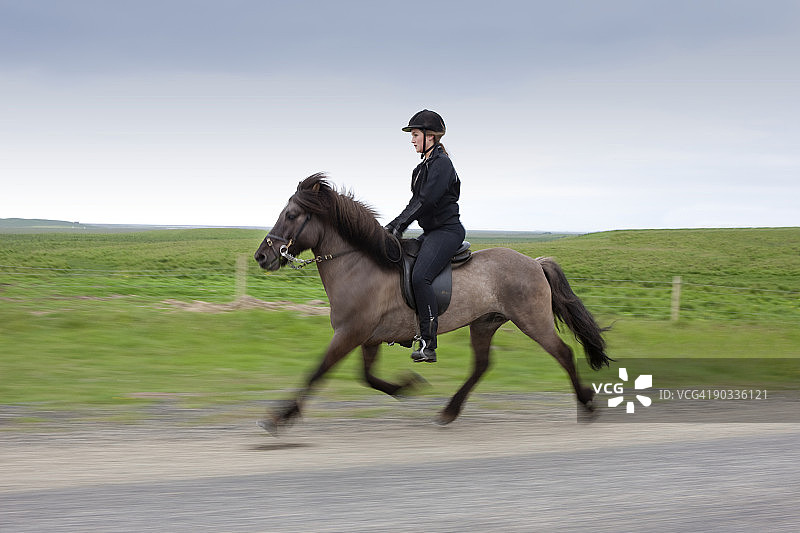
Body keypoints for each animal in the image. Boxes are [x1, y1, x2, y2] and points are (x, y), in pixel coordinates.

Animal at [253, 173, 612, 434]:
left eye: (291, 214)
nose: (262, 256)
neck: (358, 264)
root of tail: (535, 263)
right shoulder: (367, 337)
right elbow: (367, 377)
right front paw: (407, 385)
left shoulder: (349, 334)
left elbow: (317, 372)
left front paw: (279, 417)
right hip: (485, 323)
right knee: (482, 365)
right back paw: (449, 411)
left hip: (532, 320)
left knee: (563, 353)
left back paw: (587, 404)